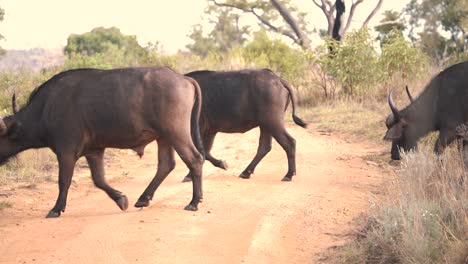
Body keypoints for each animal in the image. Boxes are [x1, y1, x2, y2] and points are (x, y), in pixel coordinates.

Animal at [0, 67, 205, 218]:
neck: (45, 109)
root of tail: (184, 79)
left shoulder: (66, 151)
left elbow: (64, 180)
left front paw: (56, 209)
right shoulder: (94, 150)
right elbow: (99, 180)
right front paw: (121, 199)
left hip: (176, 133)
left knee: (194, 159)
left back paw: (194, 202)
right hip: (163, 137)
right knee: (166, 165)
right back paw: (143, 199)